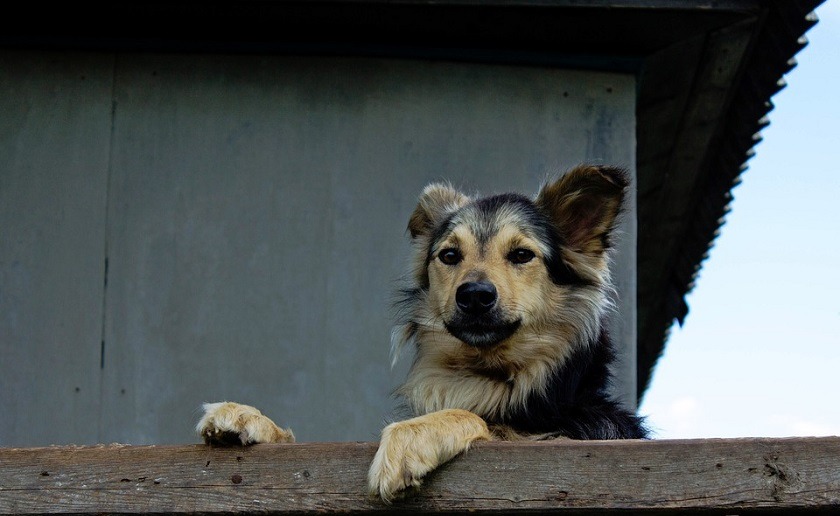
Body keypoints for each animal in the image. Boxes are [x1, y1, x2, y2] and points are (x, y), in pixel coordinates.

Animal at [200, 165, 648, 504]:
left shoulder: (577, 436)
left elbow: (487, 423)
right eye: (449, 256)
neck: (487, 373)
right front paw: (249, 419)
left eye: (522, 255)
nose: (474, 295)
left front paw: (408, 438)